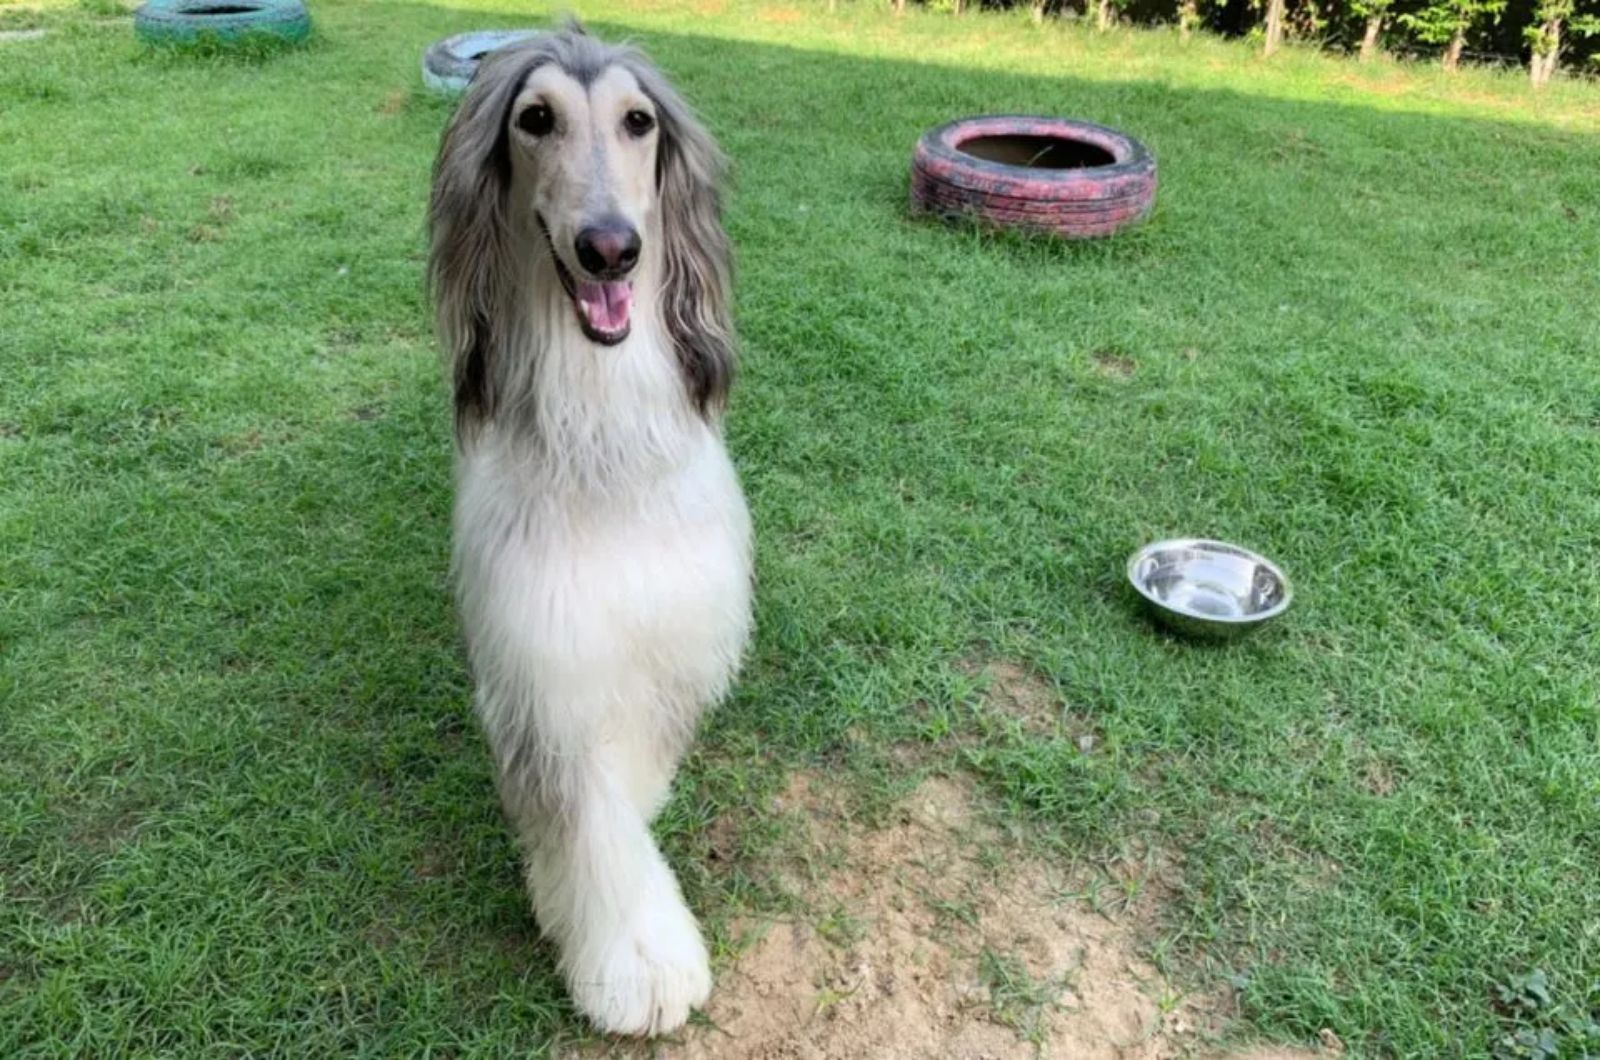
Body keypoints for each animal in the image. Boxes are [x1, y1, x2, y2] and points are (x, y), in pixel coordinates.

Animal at [425, 27, 748, 1037]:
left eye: (638, 123)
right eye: (536, 119)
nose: (610, 249)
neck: (602, 418)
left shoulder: (675, 615)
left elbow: (634, 769)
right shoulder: (543, 647)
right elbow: (589, 811)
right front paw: (634, 956)